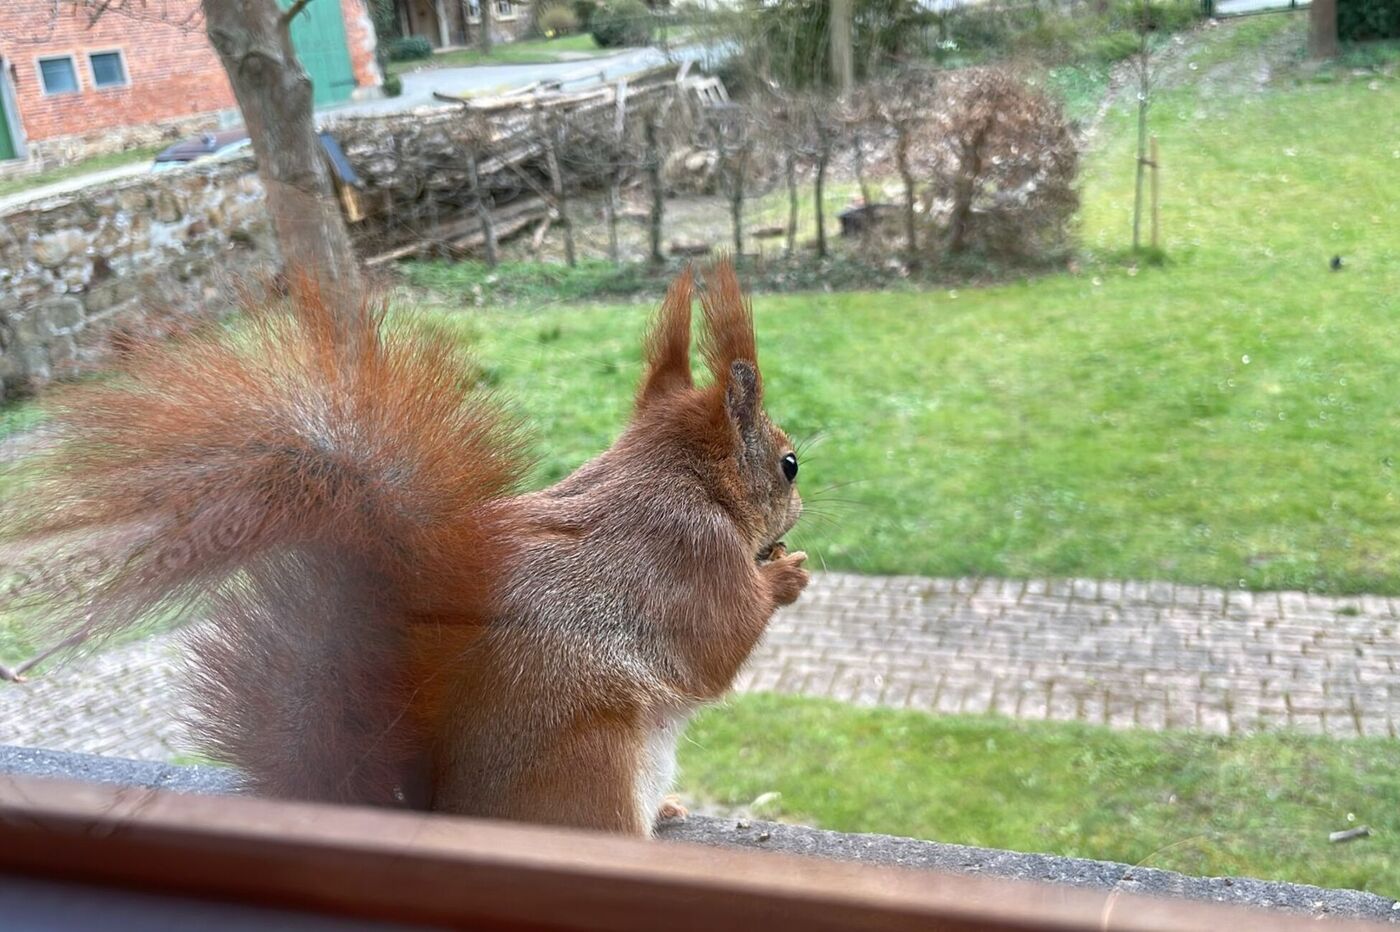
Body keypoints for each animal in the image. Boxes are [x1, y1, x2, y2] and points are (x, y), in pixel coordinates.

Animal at [6, 260, 808, 836]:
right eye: (790, 464)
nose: (800, 509)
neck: (673, 475)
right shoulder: (691, 555)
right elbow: (718, 644)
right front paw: (785, 578)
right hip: (596, 762)